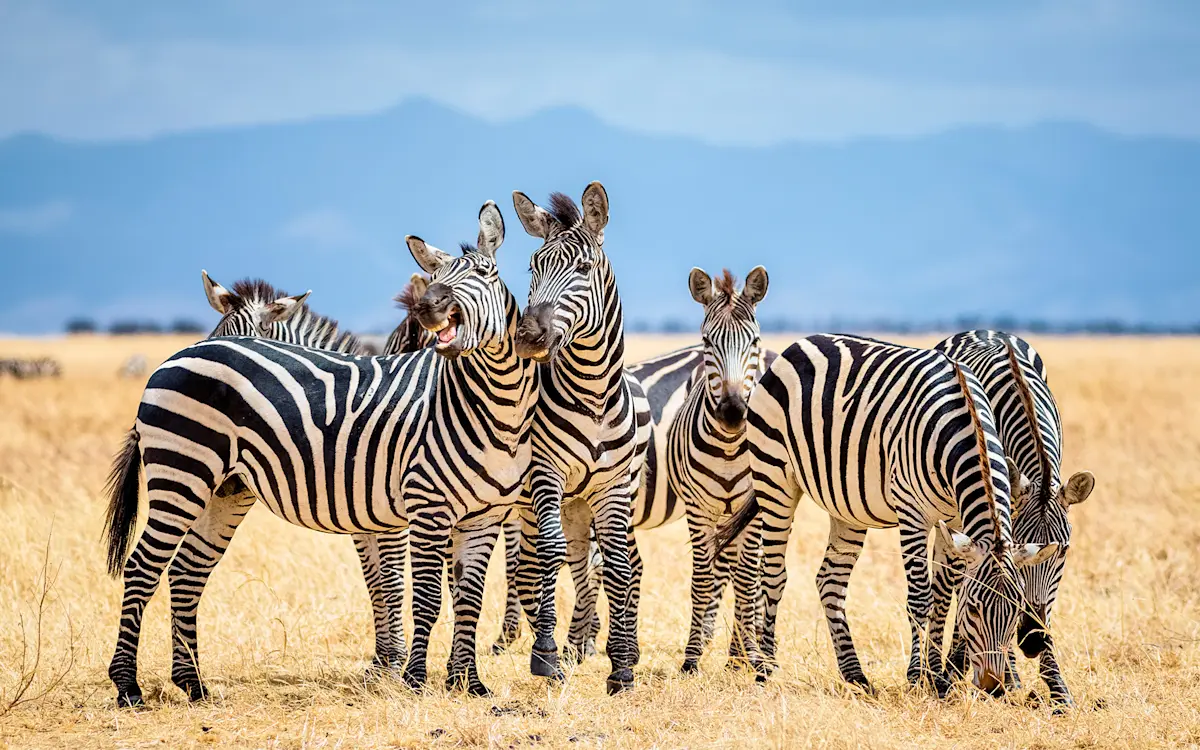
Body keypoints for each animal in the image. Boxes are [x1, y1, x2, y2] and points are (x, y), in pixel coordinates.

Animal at [102, 201, 538, 706]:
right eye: (435, 278)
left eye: (485, 273)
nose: (430, 307)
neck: (492, 404)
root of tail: (172, 359)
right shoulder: (420, 507)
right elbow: (414, 591)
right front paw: (407, 676)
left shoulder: (479, 514)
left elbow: (462, 595)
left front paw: (465, 683)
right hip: (182, 474)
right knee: (142, 568)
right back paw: (128, 686)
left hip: (225, 489)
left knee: (187, 571)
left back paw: (193, 683)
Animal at [507, 183, 649, 695]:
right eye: (533, 267)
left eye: (584, 269)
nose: (528, 337)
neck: (593, 394)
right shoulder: (545, 475)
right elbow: (549, 556)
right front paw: (546, 654)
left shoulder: (612, 487)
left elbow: (620, 566)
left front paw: (622, 665)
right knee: (557, 563)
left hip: (587, 501)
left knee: (597, 564)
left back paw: (592, 644)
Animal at [714, 334, 1060, 696]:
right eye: (974, 610)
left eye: (1016, 610)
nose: (994, 687)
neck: (967, 428)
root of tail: (799, 344)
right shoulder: (912, 514)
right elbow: (921, 598)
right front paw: (918, 676)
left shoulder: (953, 521)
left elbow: (941, 597)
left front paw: (938, 679)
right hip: (775, 479)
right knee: (773, 574)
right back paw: (766, 669)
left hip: (846, 507)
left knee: (830, 580)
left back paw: (855, 675)